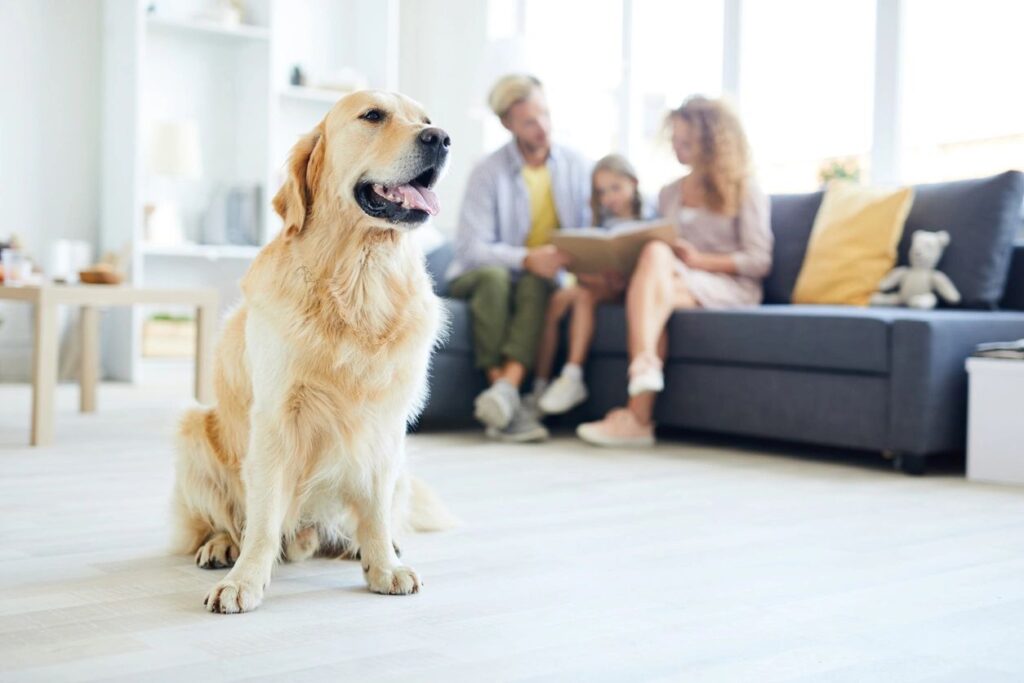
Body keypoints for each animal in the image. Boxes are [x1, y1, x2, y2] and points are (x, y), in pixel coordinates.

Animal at [172, 89, 456, 614]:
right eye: (373, 115)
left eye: (426, 119)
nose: (441, 138)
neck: (360, 277)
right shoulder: (276, 418)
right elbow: (263, 518)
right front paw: (245, 580)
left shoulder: (385, 423)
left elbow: (376, 509)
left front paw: (384, 565)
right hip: (193, 431)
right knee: (222, 519)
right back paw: (221, 546)